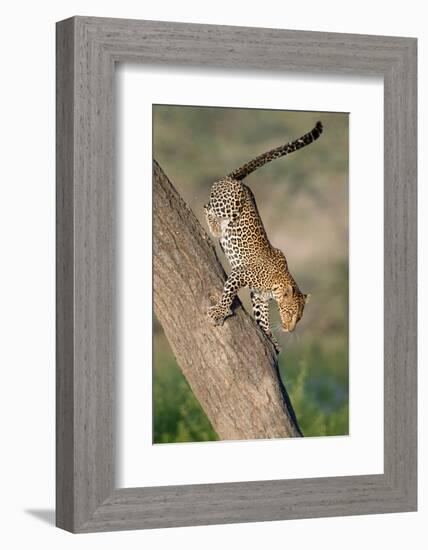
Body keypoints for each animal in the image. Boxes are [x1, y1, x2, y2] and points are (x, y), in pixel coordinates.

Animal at [206, 121, 322, 354]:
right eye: (290, 313)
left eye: (299, 318)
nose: (289, 329)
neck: (276, 285)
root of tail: (234, 180)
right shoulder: (239, 275)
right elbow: (227, 294)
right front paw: (219, 312)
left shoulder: (259, 297)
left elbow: (263, 319)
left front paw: (271, 339)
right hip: (230, 202)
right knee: (208, 206)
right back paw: (214, 226)